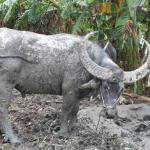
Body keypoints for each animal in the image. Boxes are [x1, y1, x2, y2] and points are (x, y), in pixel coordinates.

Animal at [0, 27, 149, 144]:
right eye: (105, 87)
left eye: (121, 90)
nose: (110, 114)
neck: (84, 63)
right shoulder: (69, 91)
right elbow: (65, 110)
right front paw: (63, 132)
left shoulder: (78, 94)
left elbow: (75, 110)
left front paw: (73, 128)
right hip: (6, 84)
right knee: (3, 109)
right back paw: (13, 138)